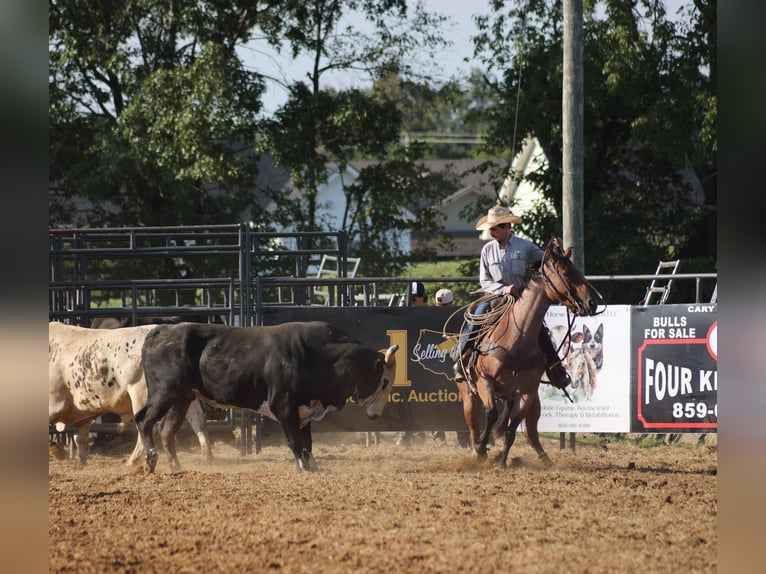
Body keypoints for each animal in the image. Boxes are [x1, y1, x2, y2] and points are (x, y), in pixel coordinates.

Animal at [454, 237, 603, 468]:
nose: (592, 302)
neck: (516, 339)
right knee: (473, 428)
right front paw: (481, 450)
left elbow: (511, 430)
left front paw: (501, 462)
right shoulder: (484, 381)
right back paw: (476, 450)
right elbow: (491, 414)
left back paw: (545, 460)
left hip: (531, 402)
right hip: (468, 396)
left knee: (530, 433)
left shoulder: (527, 392)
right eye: (566, 273)